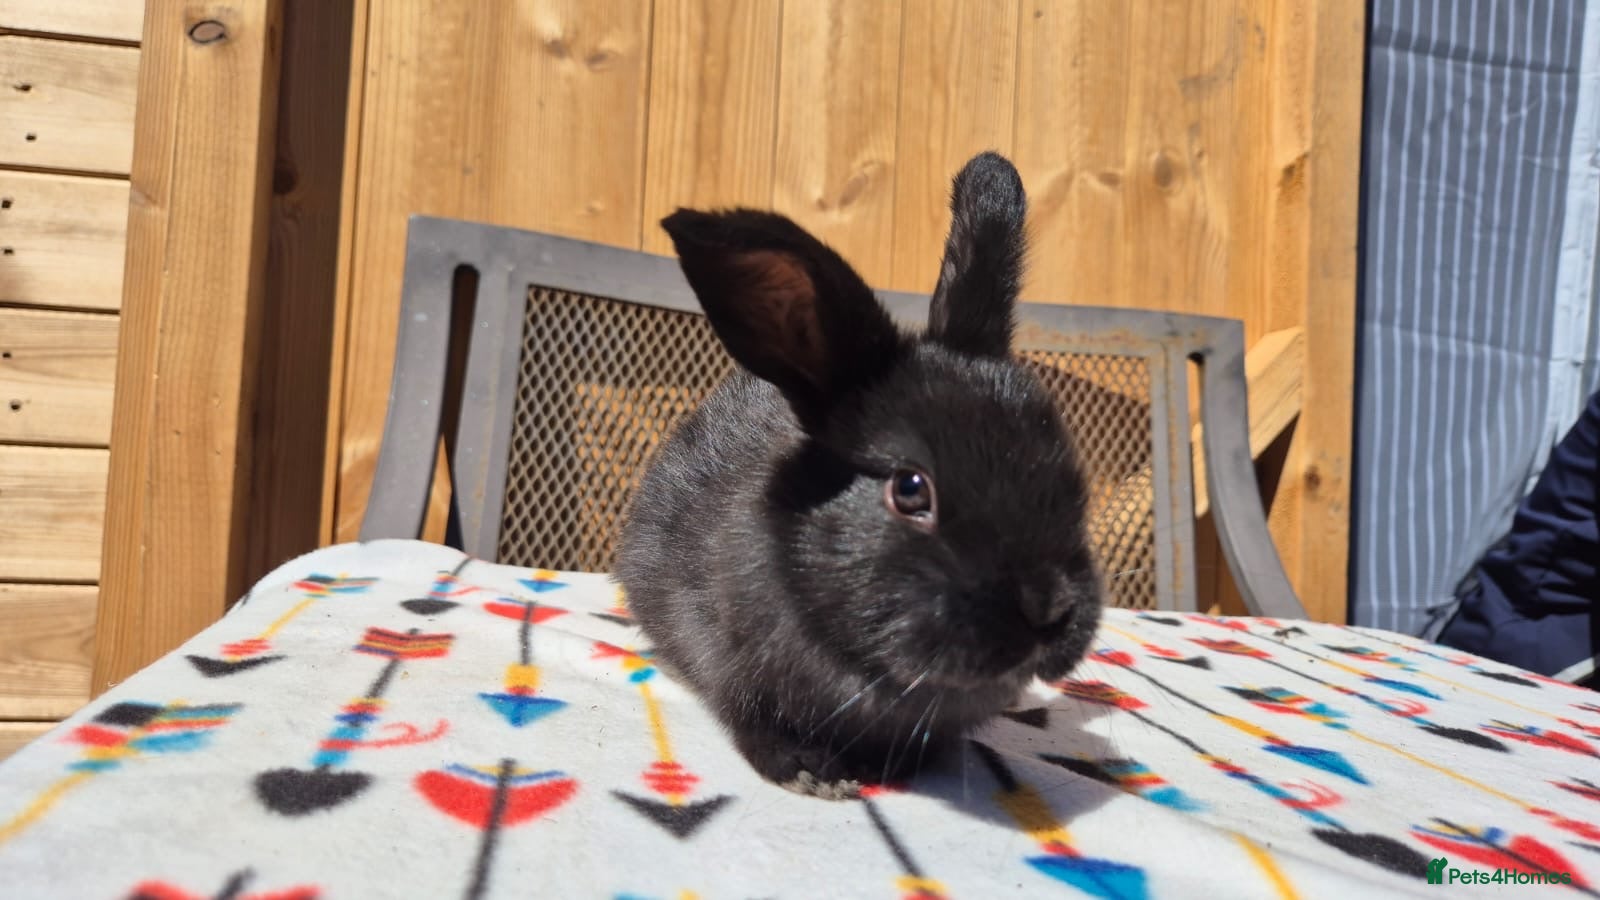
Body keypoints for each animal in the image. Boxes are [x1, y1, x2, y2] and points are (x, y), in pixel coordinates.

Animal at [614, 151, 1102, 799]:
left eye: (1063, 464)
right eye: (910, 489)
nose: (1049, 610)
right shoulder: (726, 657)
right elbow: (749, 717)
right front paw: (807, 773)